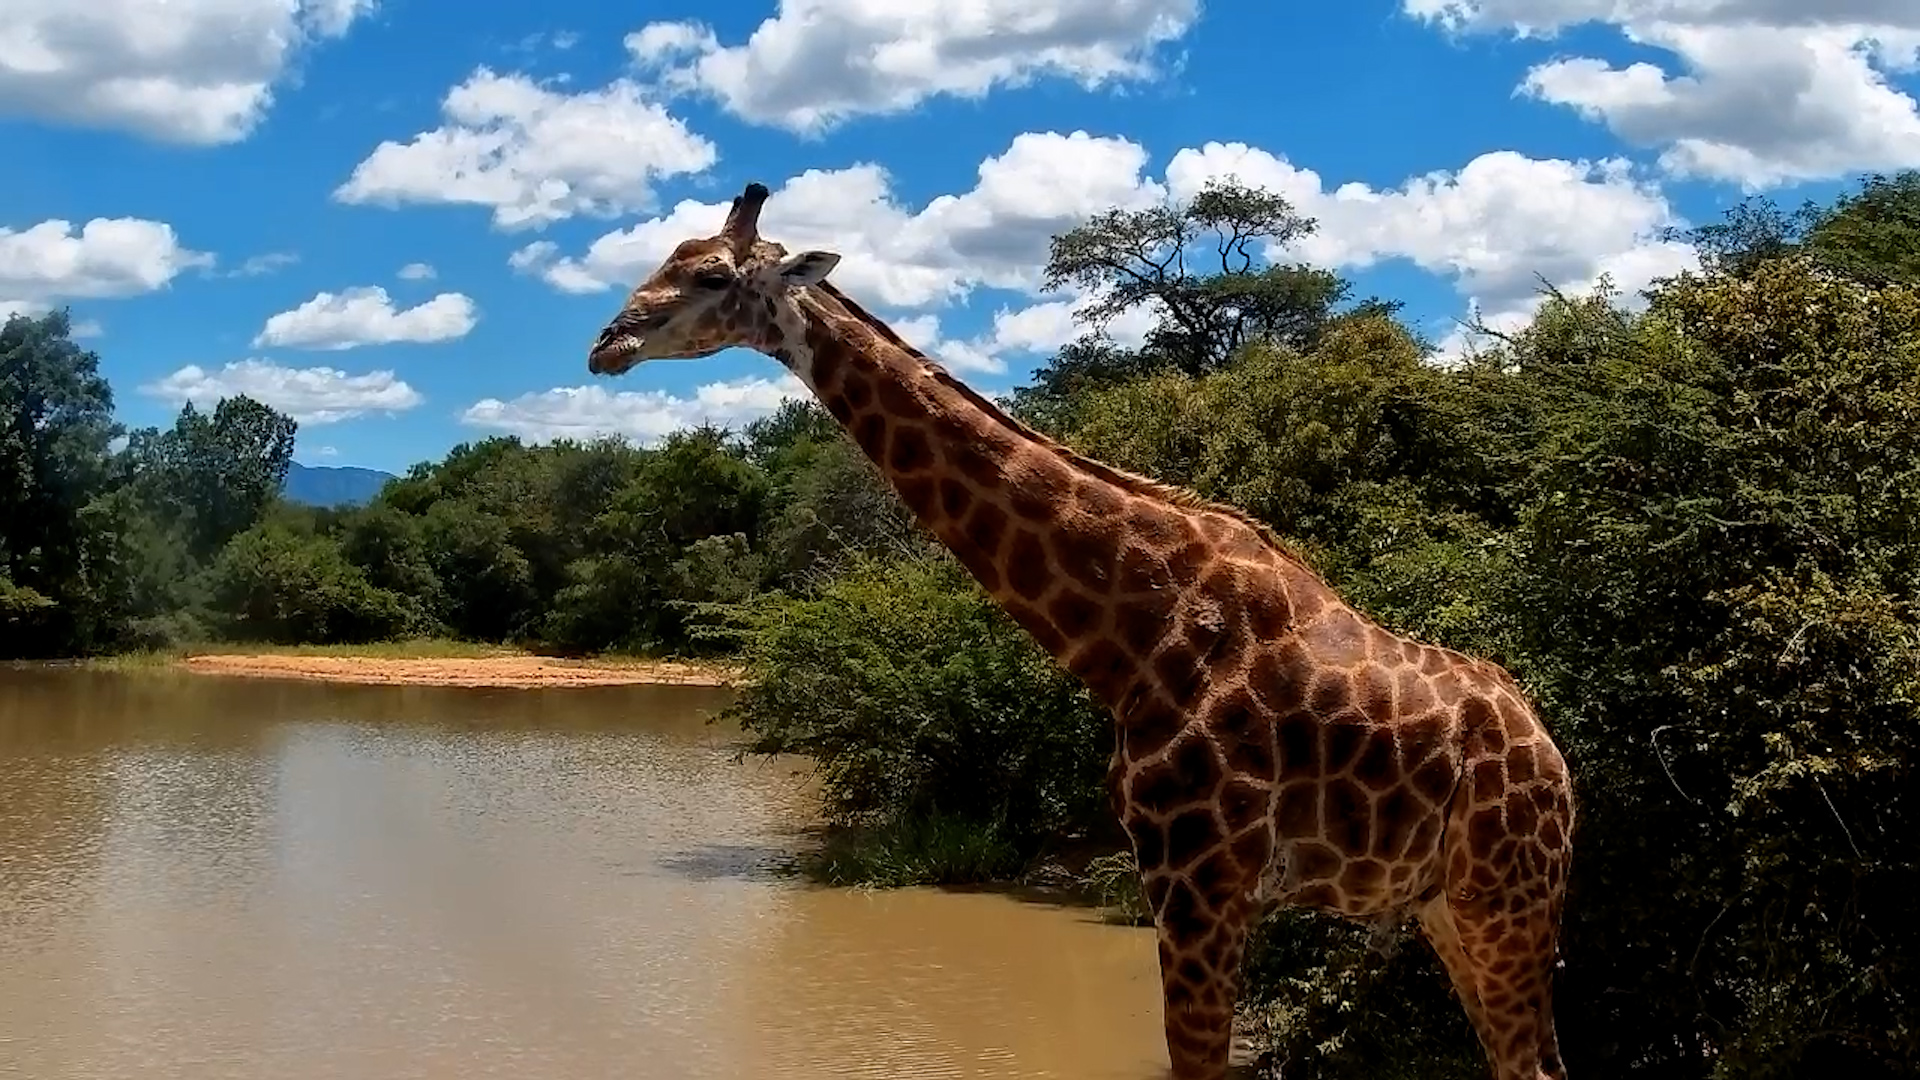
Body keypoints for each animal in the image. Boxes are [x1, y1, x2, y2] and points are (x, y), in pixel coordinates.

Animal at [582, 181, 1576, 1080]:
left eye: (712, 274)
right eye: (667, 256)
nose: (606, 344)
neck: (1136, 634)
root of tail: (1556, 759)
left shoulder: (1201, 877)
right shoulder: (1183, 880)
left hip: (1503, 896)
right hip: (1448, 904)